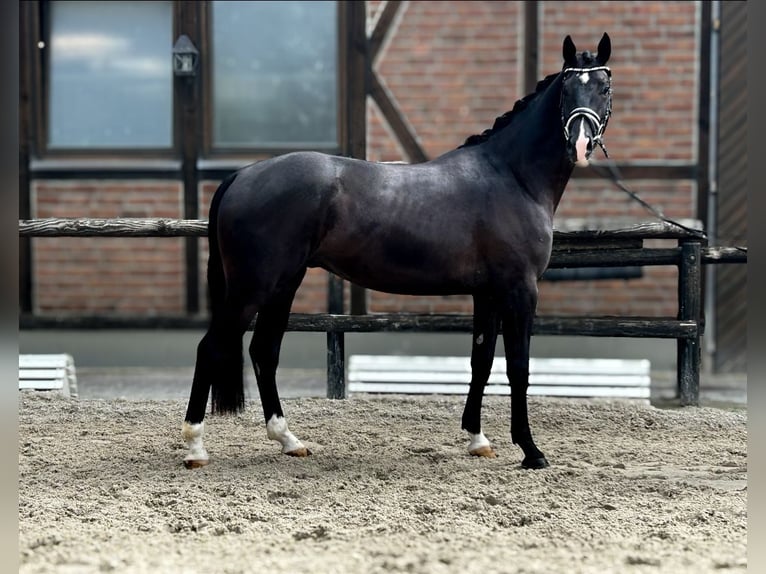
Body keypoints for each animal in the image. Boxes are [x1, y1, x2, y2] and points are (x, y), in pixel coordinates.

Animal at [183, 32, 616, 472]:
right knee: (211, 347)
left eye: (604, 88)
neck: (510, 176)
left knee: (263, 351)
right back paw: (195, 447)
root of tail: (242, 175)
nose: (581, 143)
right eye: (567, 89)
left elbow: (481, 360)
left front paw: (477, 439)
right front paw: (531, 450)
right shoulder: (520, 290)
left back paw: (288, 440)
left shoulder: (487, 293)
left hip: (284, 284)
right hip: (252, 288)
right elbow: (519, 366)